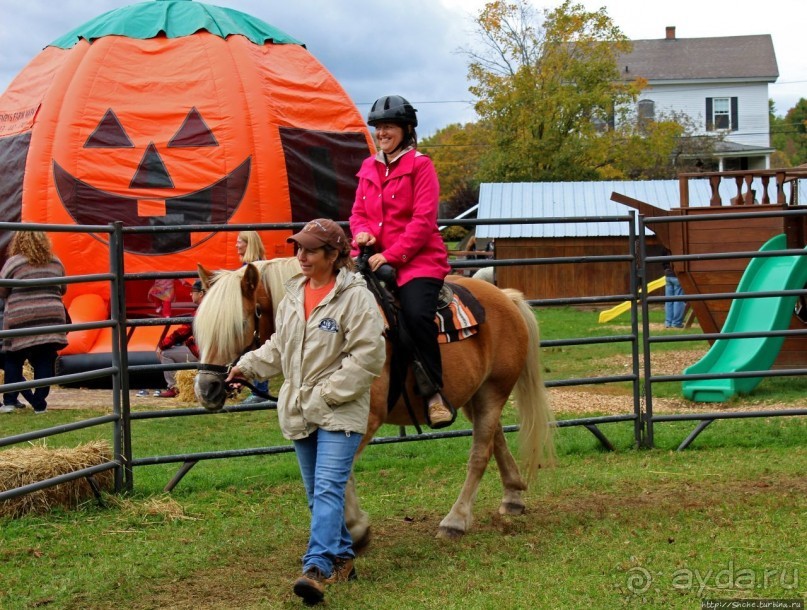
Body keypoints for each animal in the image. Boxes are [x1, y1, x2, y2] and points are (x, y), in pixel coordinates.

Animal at [193, 258, 552, 540]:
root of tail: (505, 297)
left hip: (493, 389)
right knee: (494, 438)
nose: (207, 388)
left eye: (241, 322)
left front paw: (354, 528)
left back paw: (456, 520)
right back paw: (513, 496)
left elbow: (338, 473)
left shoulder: (362, 419)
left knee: (480, 452)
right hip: (472, 395)